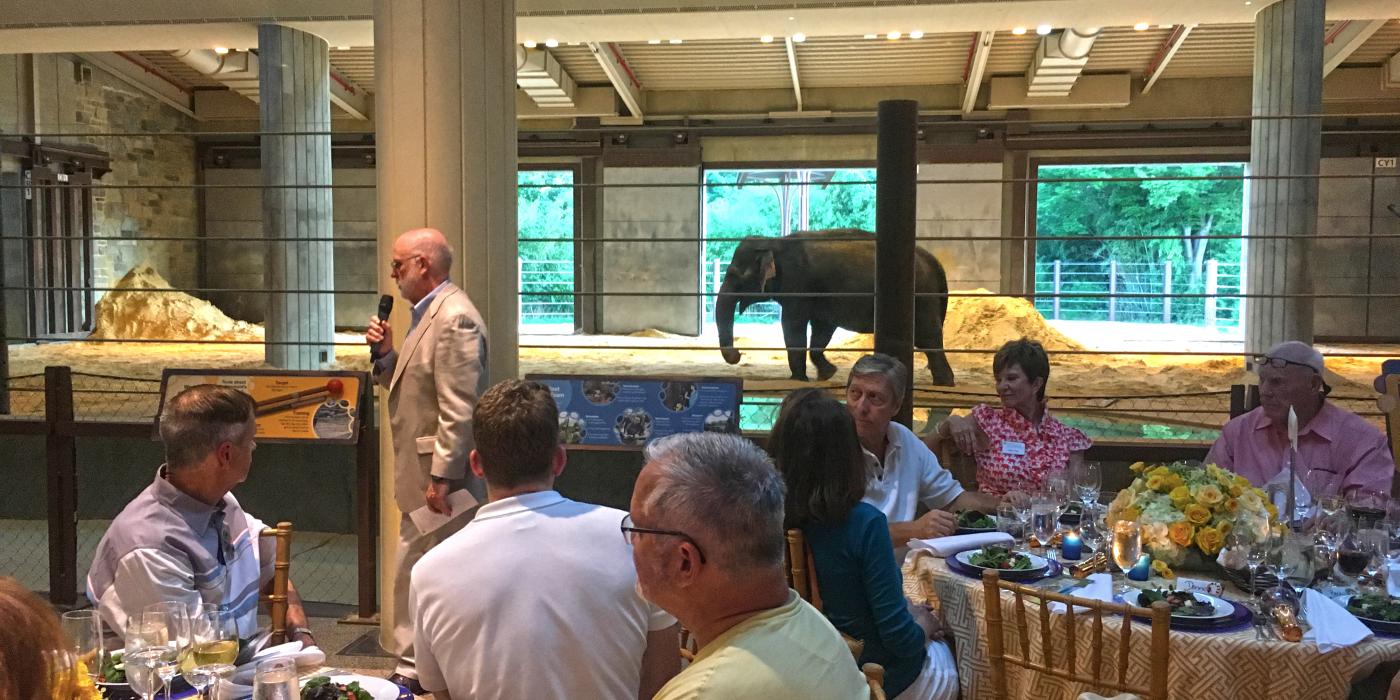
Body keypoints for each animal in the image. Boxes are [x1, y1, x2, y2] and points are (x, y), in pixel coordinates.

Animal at [716, 228, 957, 386]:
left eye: (736, 276)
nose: (738, 354)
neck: (775, 242)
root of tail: (934, 261)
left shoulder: (798, 283)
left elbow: (793, 325)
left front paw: (798, 379)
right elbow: (822, 328)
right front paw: (827, 374)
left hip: (922, 297)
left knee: (928, 337)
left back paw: (945, 383)